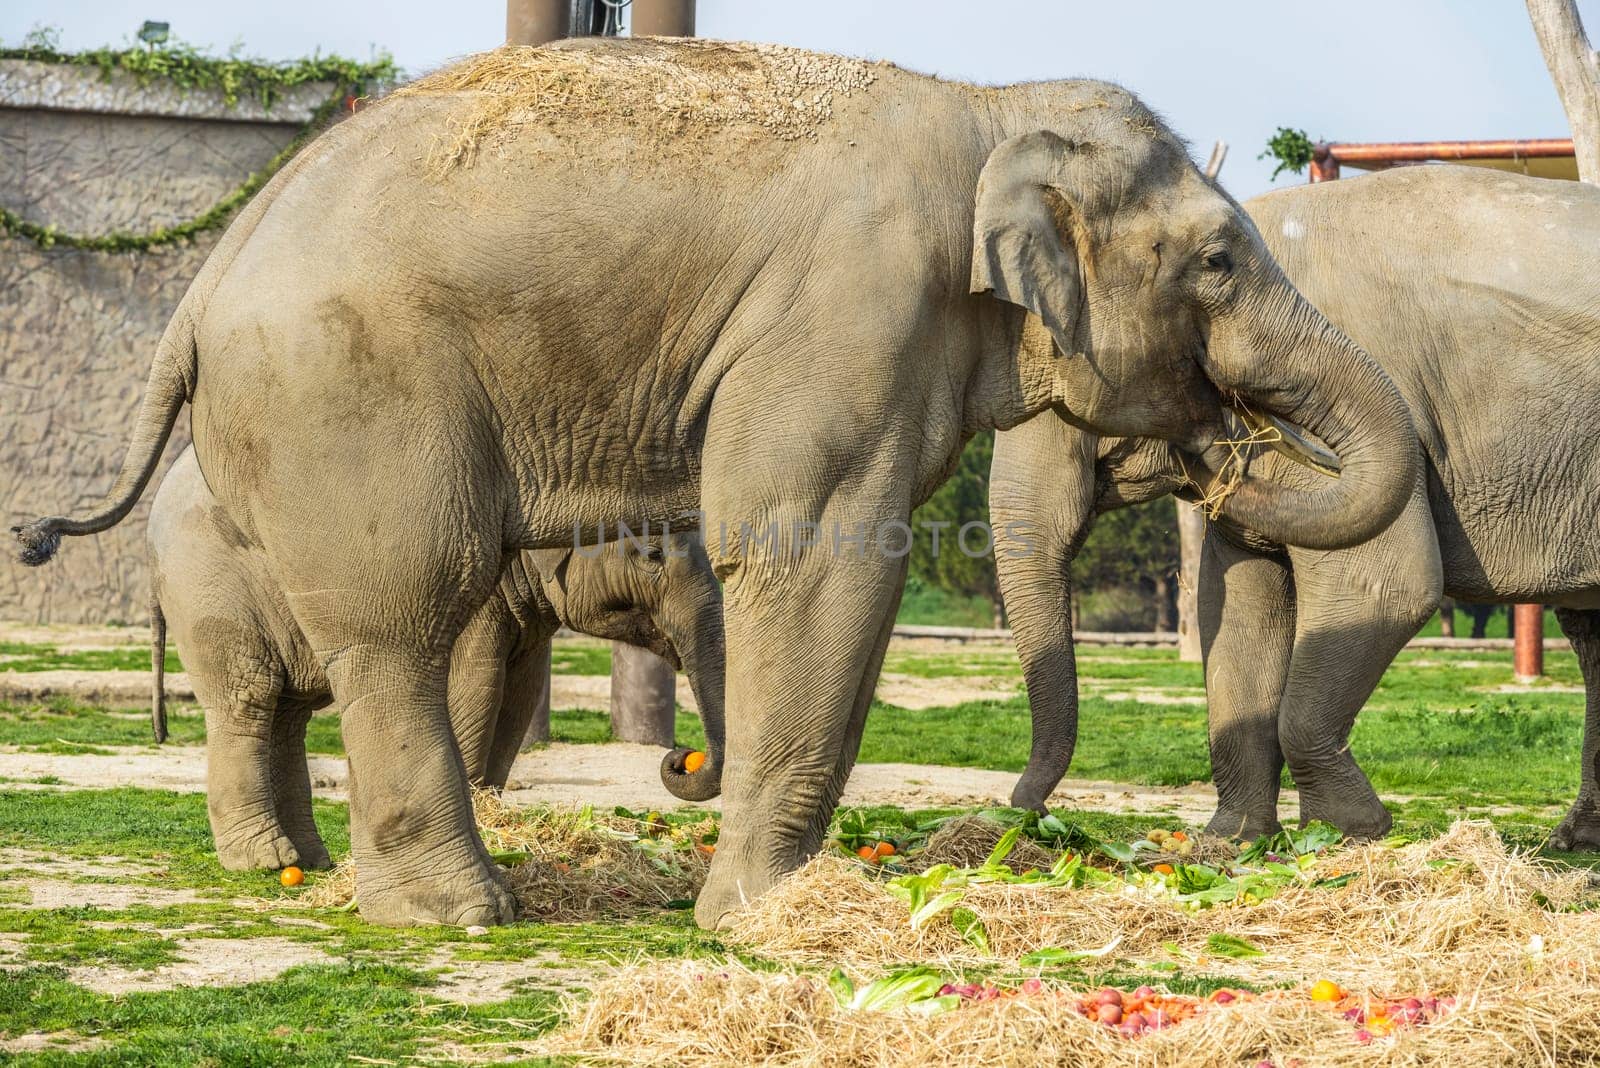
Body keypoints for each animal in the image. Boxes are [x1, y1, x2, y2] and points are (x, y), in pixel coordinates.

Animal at [148, 441, 726, 869]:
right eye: (651, 554)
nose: (678, 756)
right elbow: (476, 688)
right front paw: (480, 821)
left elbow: (519, 699)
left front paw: (490, 812)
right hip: (212, 587)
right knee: (250, 699)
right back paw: (267, 862)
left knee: (288, 712)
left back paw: (312, 861)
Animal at [992, 164, 1600, 850]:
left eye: (1065, 395)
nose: (1032, 813)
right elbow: (1237, 604)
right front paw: (1230, 841)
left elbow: (1385, 584)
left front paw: (1350, 831)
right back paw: (1576, 841)